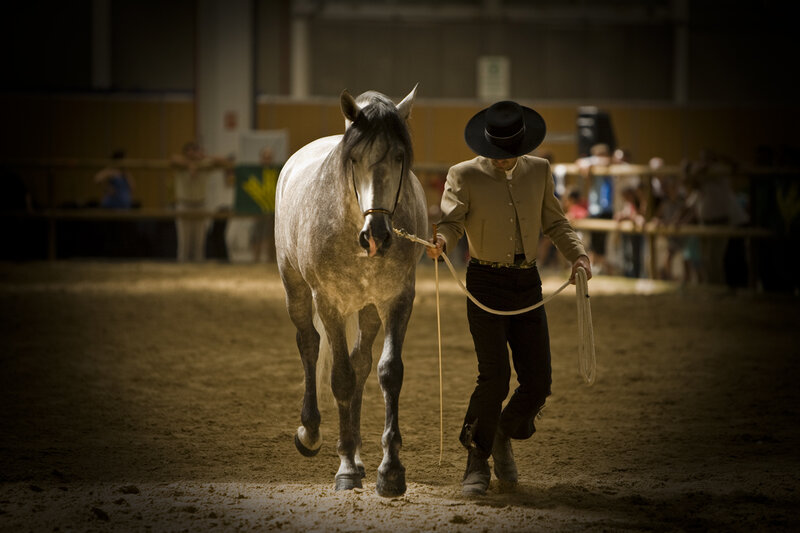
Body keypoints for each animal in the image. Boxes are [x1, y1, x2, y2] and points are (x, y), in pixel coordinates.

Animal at [274, 86, 427, 497]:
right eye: (354, 159)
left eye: (399, 156)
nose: (377, 236)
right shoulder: (329, 302)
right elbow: (340, 377)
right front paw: (344, 467)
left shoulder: (398, 301)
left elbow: (388, 373)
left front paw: (390, 471)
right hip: (297, 290)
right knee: (309, 344)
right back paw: (311, 433)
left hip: (368, 309)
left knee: (361, 364)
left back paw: (358, 457)